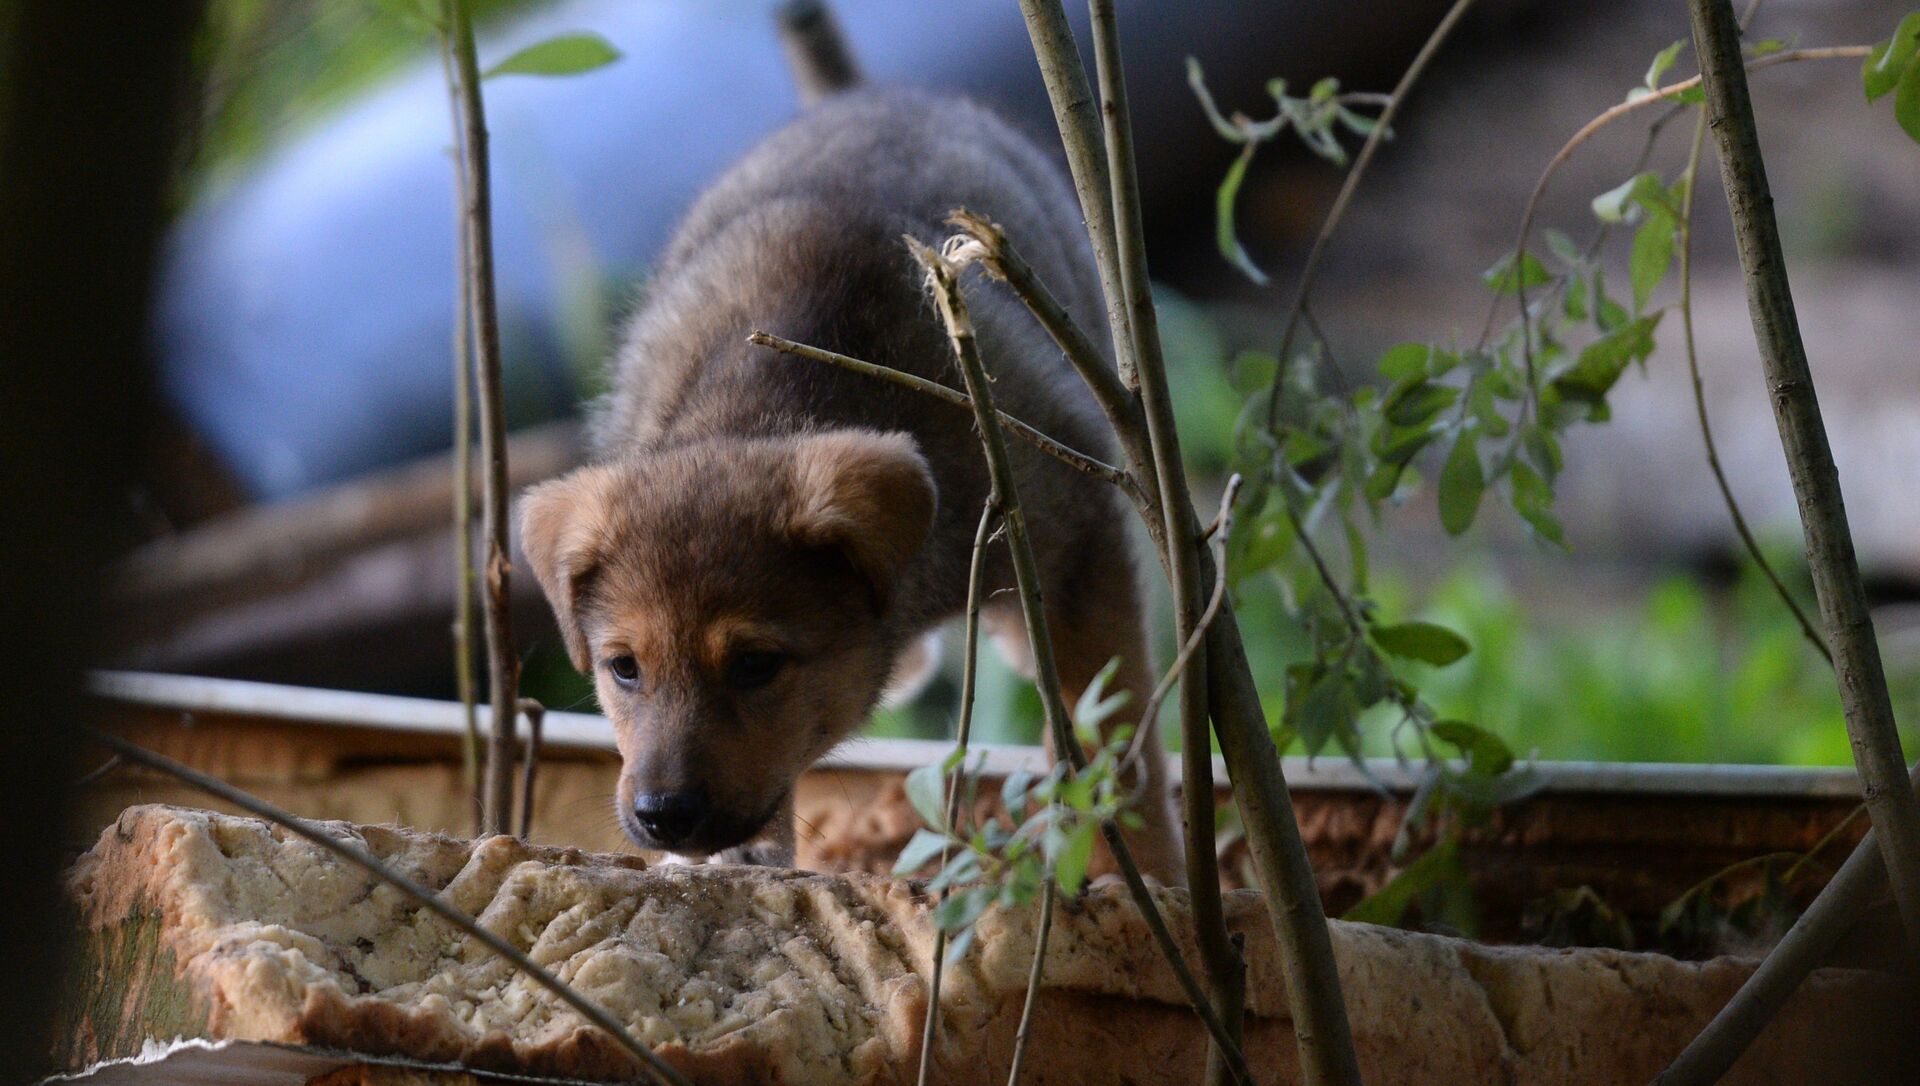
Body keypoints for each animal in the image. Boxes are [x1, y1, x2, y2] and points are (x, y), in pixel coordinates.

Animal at [526, 87, 1182, 886]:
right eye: (623, 668)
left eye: (755, 665)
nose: (663, 816)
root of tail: (886, 95)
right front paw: (747, 857)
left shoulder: (1079, 552)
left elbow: (1112, 736)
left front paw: (1144, 873)